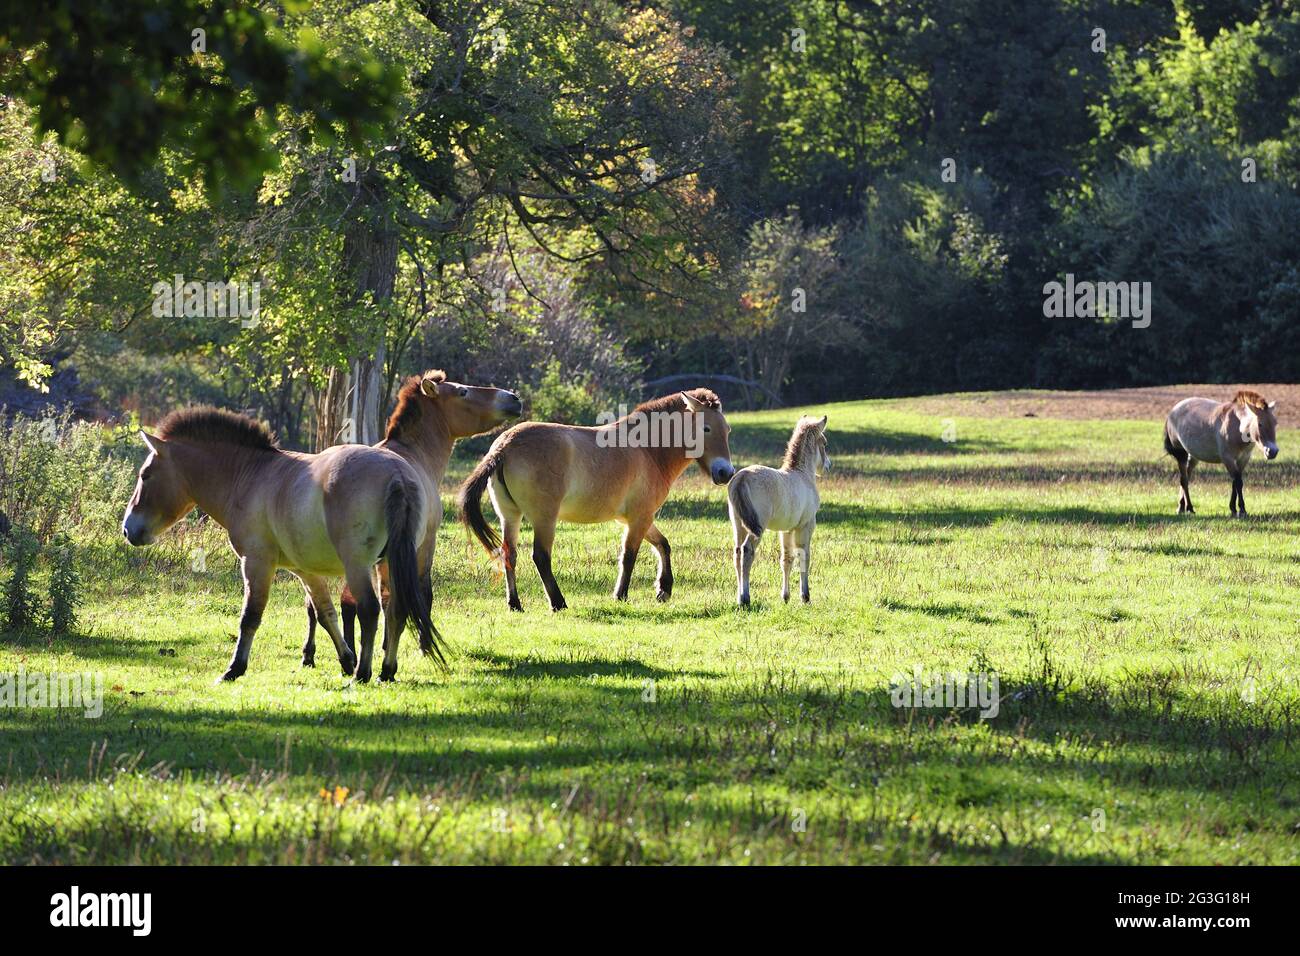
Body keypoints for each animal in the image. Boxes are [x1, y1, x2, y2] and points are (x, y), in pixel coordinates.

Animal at [124, 408, 444, 686]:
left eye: (145, 475)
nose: (128, 529)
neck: (250, 476)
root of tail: (397, 473)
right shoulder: (305, 571)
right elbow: (325, 614)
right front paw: (344, 660)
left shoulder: (256, 563)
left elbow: (250, 617)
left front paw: (234, 669)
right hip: (391, 562)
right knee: (395, 610)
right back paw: (385, 671)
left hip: (359, 566)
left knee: (370, 610)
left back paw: (363, 674)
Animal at [304, 369, 522, 671]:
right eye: (463, 391)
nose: (513, 398)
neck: (413, 453)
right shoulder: (424, 545)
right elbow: (421, 594)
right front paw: (422, 645)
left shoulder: (384, 558)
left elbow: (385, 599)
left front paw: (385, 645)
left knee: (320, 604)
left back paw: (318, 654)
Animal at [460, 390, 738, 613]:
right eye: (706, 428)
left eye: (727, 430)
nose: (726, 473)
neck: (648, 450)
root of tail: (503, 446)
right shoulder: (639, 518)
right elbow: (629, 555)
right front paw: (621, 595)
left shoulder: (639, 518)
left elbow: (663, 545)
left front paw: (664, 589)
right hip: (544, 519)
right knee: (540, 556)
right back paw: (558, 602)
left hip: (510, 516)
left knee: (509, 554)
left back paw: (515, 604)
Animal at [728, 413, 826, 606]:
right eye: (824, 443)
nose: (828, 465)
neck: (803, 475)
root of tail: (742, 478)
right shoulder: (806, 525)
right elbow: (804, 557)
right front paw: (805, 597)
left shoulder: (786, 530)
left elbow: (786, 559)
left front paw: (785, 597)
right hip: (757, 526)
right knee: (747, 552)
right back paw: (745, 598)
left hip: (738, 524)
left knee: (737, 552)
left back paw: (738, 598)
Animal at [1170, 392, 1279, 520]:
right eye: (1260, 423)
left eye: (1275, 423)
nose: (1273, 451)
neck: (1237, 427)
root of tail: (1174, 410)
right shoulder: (1228, 459)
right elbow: (1238, 482)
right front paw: (1242, 510)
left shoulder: (1243, 459)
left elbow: (1235, 483)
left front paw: (1233, 509)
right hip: (1181, 454)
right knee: (1183, 479)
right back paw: (1186, 508)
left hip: (1193, 456)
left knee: (1187, 476)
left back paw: (1184, 507)